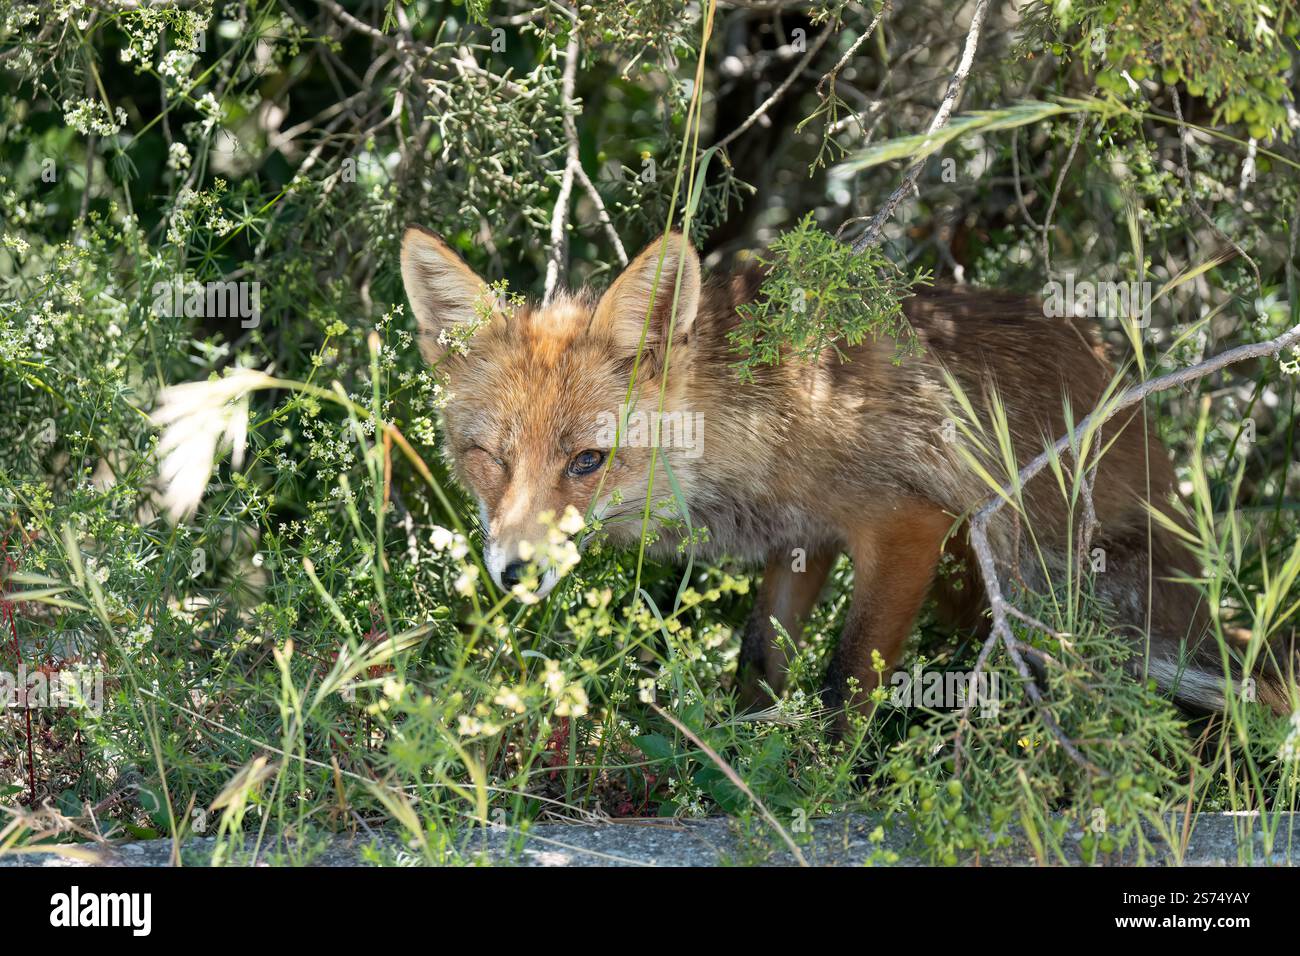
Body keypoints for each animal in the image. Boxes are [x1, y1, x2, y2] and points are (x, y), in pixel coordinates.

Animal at [399, 224, 1294, 732]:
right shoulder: (802, 540)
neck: (772, 414)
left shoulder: (909, 525)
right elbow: (761, 660)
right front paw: (740, 748)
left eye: (587, 460)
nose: (515, 573)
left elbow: (845, 686)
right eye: (490, 458)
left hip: (1070, 603)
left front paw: (819, 786)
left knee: (1252, 691)